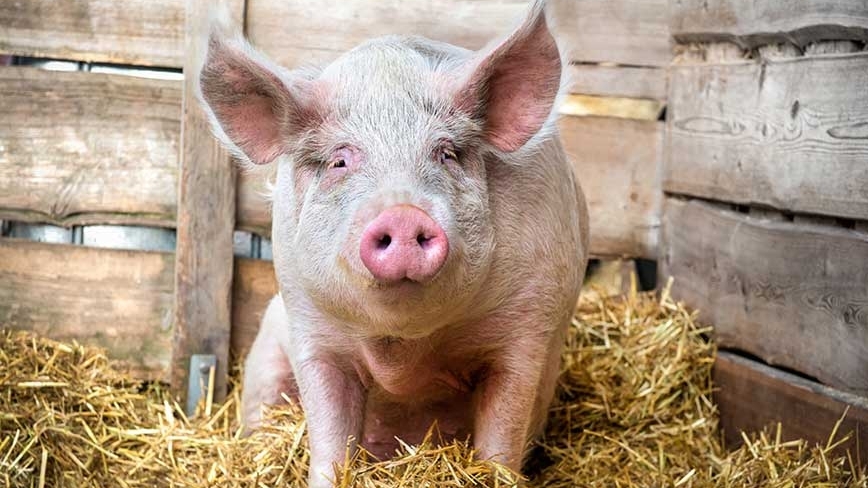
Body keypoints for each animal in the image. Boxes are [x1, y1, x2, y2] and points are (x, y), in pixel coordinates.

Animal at [198, 1, 588, 486]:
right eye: (340, 160)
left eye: (446, 153)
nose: (403, 213)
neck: (405, 348)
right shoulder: (310, 326)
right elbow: (328, 436)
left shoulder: (528, 327)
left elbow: (502, 432)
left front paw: (492, 472)